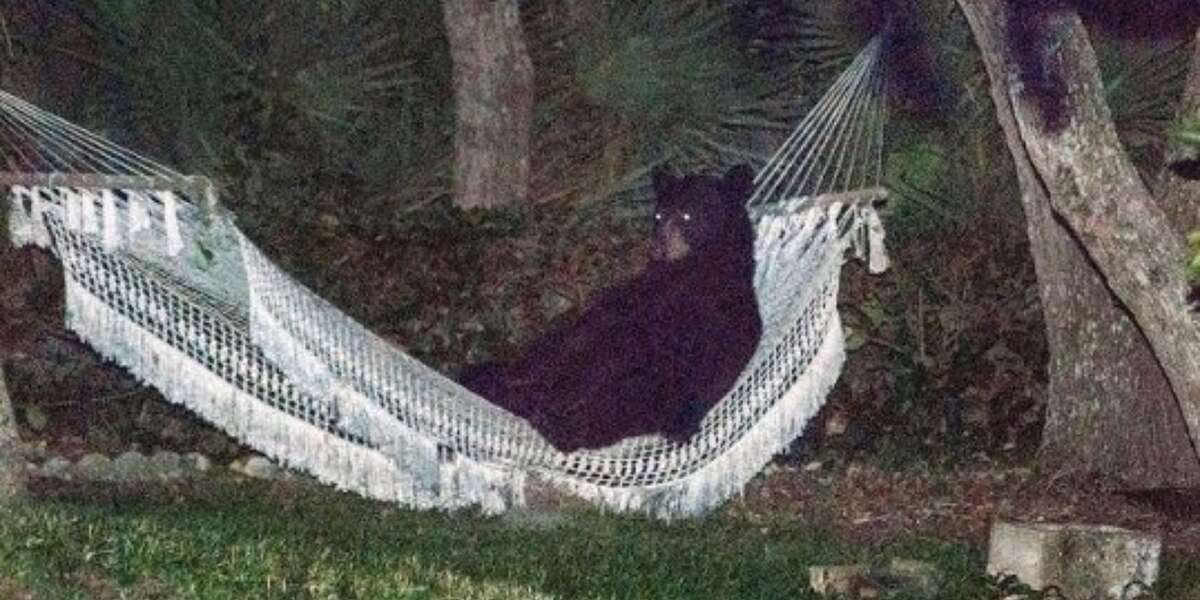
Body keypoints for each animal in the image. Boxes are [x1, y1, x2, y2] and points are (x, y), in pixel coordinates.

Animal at [460, 164, 763, 453]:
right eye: (658, 216)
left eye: (688, 215)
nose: (657, 247)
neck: (693, 269)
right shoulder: (632, 299)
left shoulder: (708, 318)